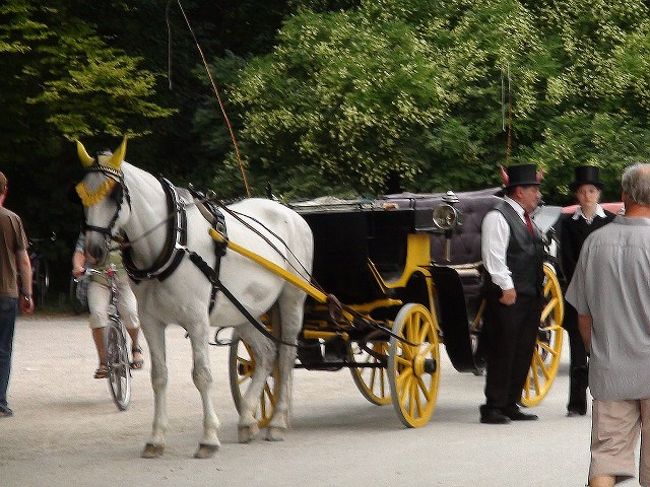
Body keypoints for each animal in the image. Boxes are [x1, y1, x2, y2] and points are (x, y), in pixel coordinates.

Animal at [74, 136, 312, 458]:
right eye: (80, 193)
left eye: (114, 194)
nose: (95, 250)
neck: (172, 241)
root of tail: (290, 212)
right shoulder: (151, 322)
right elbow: (159, 377)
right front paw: (156, 438)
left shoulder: (197, 320)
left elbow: (202, 374)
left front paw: (209, 437)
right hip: (244, 308)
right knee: (265, 354)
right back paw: (247, 419)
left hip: (291, 299)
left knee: (285, 356)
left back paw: (276, 422)